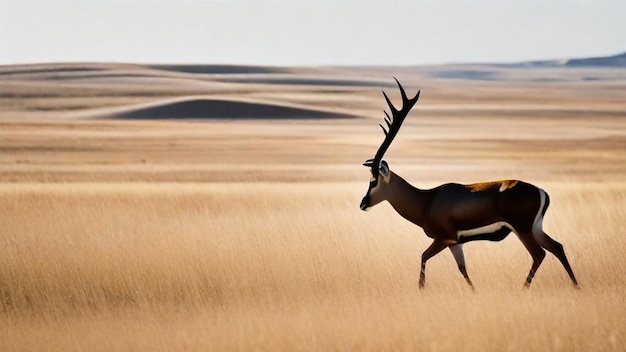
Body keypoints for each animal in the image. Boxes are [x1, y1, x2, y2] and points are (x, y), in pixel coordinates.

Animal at [358, 78, 576, 290]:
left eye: (373, 181)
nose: (363, 204)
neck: (426, 200)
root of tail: (541, 191)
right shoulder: (456, 243)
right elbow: (463, 270)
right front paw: (473, 291)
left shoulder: (444, 239)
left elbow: (423, 257)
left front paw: (421, 289)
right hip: (535, 228)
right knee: (557, 247)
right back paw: (576, 286)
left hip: (522, 229)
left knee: (539, 254)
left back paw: (524, 288)